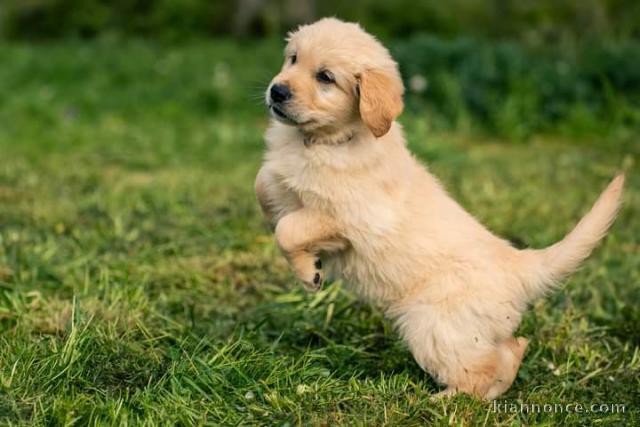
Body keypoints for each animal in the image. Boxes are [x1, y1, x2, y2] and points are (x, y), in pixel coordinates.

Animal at [255, 18, 624, 400]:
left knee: (482, 370)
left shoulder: (354, 217)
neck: (321, 141)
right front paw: (305, 258)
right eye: (293, 59)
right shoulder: (282, 179)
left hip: (434, 327)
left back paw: (442, 400)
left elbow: (289, 229)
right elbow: (264, 186)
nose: (277, 91)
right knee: (511, 349)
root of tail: (519, 264)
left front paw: (309, 274)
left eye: (325, 77)